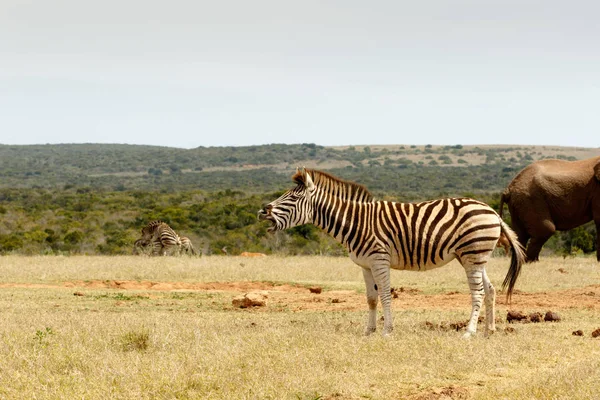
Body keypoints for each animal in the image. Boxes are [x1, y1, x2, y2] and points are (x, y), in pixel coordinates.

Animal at [258, 168, 524, 338]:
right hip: (474, 257)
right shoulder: (365, 265)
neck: (356, 222)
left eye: (293, 198)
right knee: (490, 289)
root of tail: (493, 211)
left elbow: (385, 295)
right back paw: (489, 331)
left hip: (472, 254)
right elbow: (371, 298)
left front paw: (387, 331)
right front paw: (369, 331)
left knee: (477, 292)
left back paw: (469, 332)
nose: (262, 211)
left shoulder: (379, 260)